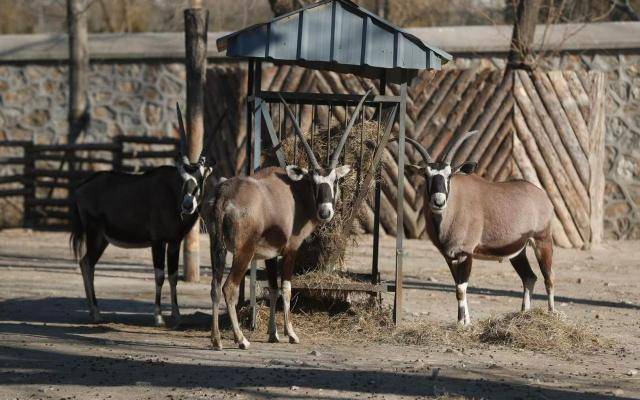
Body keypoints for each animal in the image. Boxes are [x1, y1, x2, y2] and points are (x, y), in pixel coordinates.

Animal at [70, 104, 220, 326]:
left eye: (200, 178)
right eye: (182, 177)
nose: (187, 205)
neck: (172, 194)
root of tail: (80, 188)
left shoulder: (174, 242)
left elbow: (173, 275)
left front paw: (176, 315)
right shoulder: (157, 241)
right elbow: (159, 275)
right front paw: (158, 316)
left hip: (103, 238)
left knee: (85, 262)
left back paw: (92, 311)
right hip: (95, 234)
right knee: (87, 264)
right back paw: (96, 312)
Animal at [202, 97, 358, 350]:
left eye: (334, 180)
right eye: (313, 182)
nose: (325, 211)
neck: (294, 192)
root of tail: (223, 194)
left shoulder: (270, 254)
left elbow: (273, 289)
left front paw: (273, 333)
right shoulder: (290, 249)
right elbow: (286, 288)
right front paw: (291, 334)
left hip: (217, 248)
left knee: (215, 288)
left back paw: (216, 340)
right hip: (243, 252)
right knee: (229, 288)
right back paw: (241, 339)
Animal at [400, 131, 556, 324]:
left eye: (449, 175)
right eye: (426, 175)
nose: (438, 202)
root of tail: (541, 195)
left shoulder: (465, 253)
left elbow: (461, 289)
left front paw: (462, 324)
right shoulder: (449, 256)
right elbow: (457, 287)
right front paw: (465, 321)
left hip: (542, 241)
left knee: (549, 277)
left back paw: (551, 314)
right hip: (518, 252)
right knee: (529, 277)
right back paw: (523, 314)